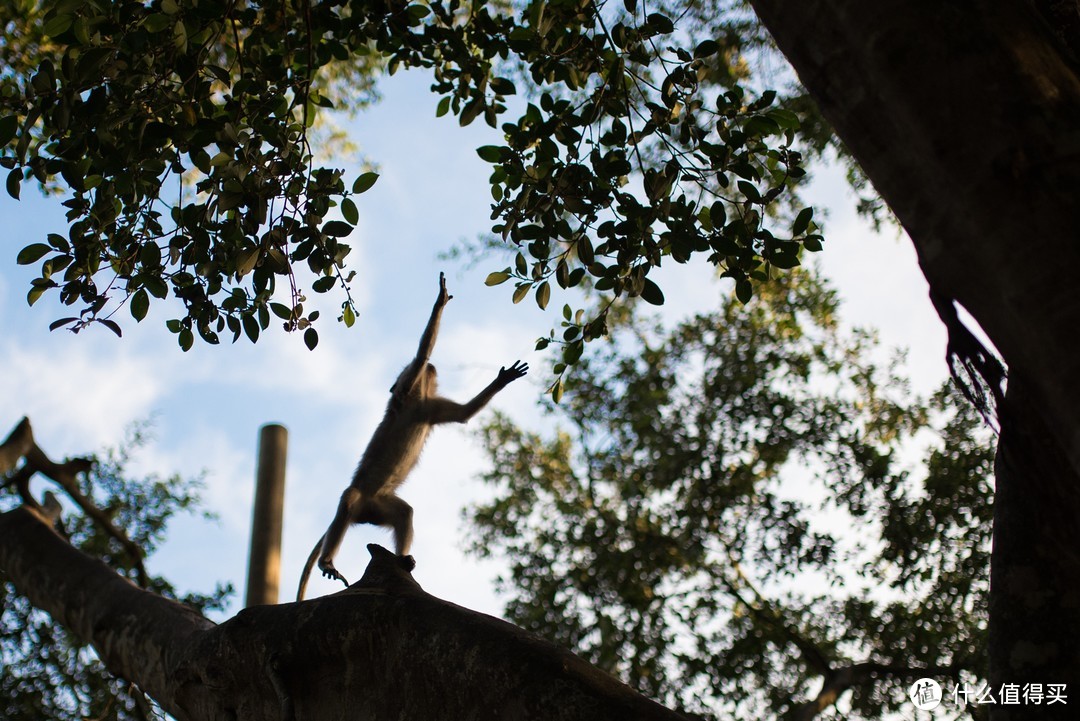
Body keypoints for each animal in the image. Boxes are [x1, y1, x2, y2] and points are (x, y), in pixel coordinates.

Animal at [298, 273, 529, 600]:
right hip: (364, 499)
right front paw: (439, 302)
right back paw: (328, 561)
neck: (417, 401)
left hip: (378, 506)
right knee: (348, 497)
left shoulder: (429, 408)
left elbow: (463, 414)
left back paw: (402, 560)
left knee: (404, 512)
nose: (431, 373)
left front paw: (502, 379)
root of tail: (364, 511)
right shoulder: (407, 393)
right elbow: (421, 356)